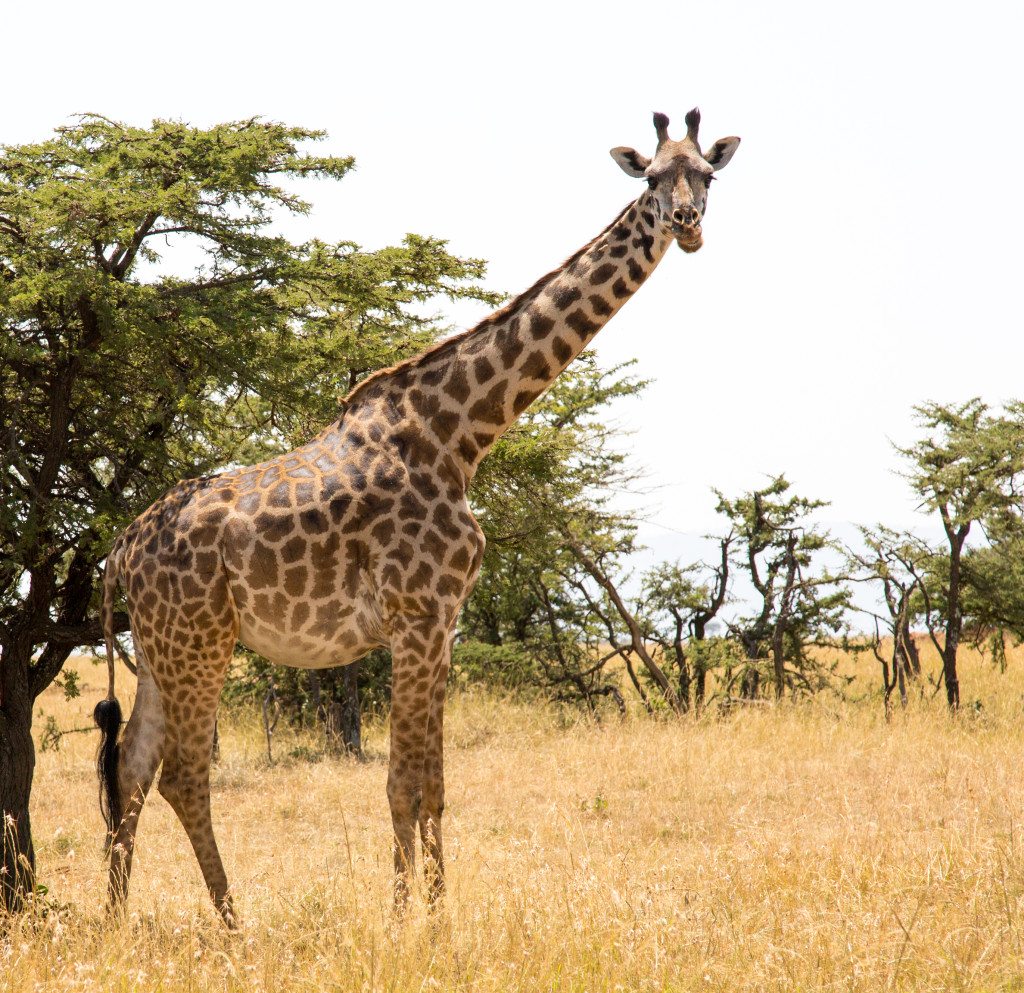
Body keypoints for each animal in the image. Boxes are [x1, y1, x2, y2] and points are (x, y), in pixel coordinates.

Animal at [92, 108, 741, 921]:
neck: (460, 435)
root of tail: (119, 549)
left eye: (707, 175)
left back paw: (118, 919)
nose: (687, 224)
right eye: (652, 178)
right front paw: (405, 918)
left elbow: (435, 783)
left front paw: (438, 909)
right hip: (199, 645)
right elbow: (402, 782)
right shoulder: (413, 617)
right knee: (181, 775)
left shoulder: (443, 622)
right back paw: (234, 922)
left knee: (130, 770)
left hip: (159, 653)